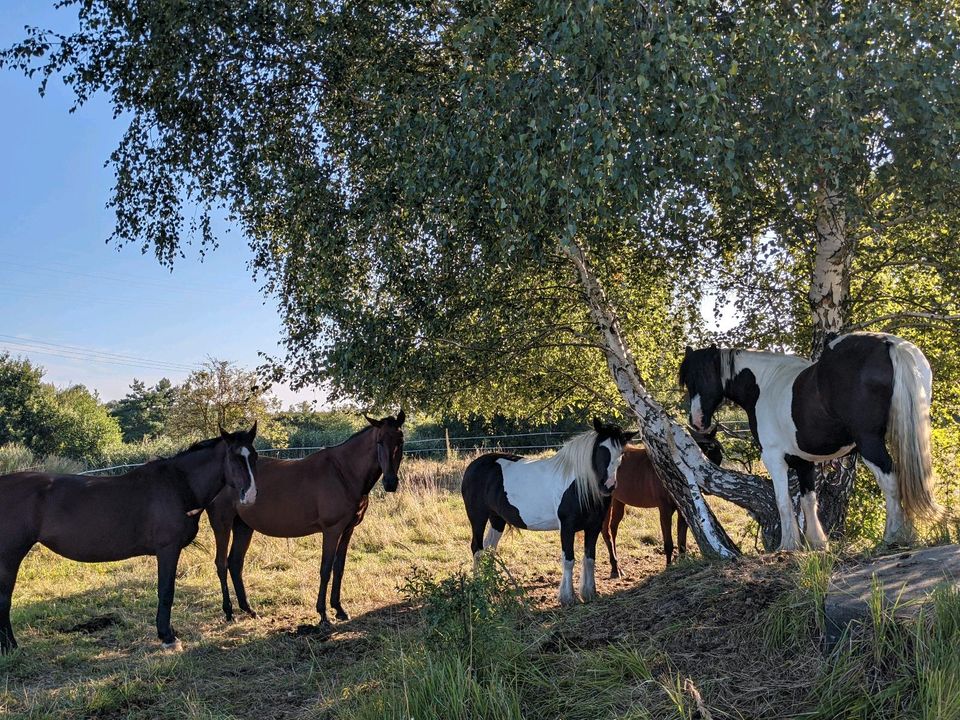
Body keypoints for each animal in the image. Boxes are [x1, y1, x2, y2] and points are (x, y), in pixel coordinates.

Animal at [0, 424, 258, 656]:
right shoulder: (168, 549)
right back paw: (10, 647)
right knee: (5, 597)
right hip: (10, 556)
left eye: (253, 457)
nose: (251, 496)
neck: (177, 485)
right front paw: (167, 637)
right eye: (234, 458)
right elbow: (166, 591)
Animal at [208, 410, 404, 632]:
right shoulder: (332, 530)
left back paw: (249, 610)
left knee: (235, 563)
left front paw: (339, 609)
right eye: (379, 441)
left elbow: (339, 568)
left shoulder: (348, 530)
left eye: (400, 440)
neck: (343, 472)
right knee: (221, 563)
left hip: (243, 527)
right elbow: (326, 569)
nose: (390, 482)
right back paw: (229, 612)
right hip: (222, 525)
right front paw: (323, 615)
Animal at [460, 420, 632, 604]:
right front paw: (567, 598)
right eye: (600, 449)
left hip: (497, 519)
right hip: (477, 516)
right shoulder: (567, 527)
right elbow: (568, 560)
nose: (608, 486)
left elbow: (590, 558)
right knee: (477, 548)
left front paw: (589, 593)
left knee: (489, 548)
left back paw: (490, 585)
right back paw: (480, 588)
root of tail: (473, 466)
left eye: (621, 453)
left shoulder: (593, 527)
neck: (579, 485)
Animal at [604, 430, 724, 576]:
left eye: (719, 458)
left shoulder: (682, 510)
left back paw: (618, 567)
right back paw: (615, 569)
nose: (709, 488)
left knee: (613, 528)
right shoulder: (665, 510)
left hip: (618, 500)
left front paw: (682, 563)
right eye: (706, 455)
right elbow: (668, 544)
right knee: (606, 532)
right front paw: (668, 567)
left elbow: (682, 542)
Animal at [680, 334, 940, 552]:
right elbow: (808, 501)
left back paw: (892, 537)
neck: (763, 384)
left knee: (890, 481)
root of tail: (888, 343)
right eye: (687, 381)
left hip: (869, 443)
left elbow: (783, 502)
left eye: (704, 376)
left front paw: (788, 545)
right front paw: (817, 543)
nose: (697, 421)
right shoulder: (803, 461)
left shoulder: (773, 458)